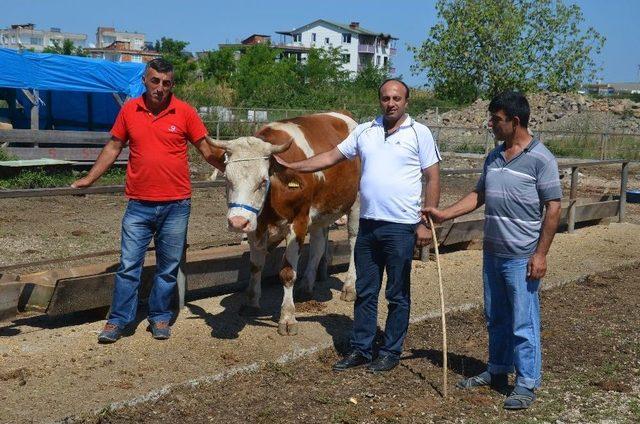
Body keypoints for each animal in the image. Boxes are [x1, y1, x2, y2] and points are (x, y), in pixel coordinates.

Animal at [209, 112, 360, 334]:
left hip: (356, 203)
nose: (237, 222)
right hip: (320, 214)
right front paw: (252, 303)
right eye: (227, 179)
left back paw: (349, 287)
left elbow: (288, 273)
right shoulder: (255, 225)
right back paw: (306, 286)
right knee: (318, 246)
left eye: (263, 181)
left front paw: (288, 317)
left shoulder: (298, 222)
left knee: (353, 242)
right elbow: (255, 266)